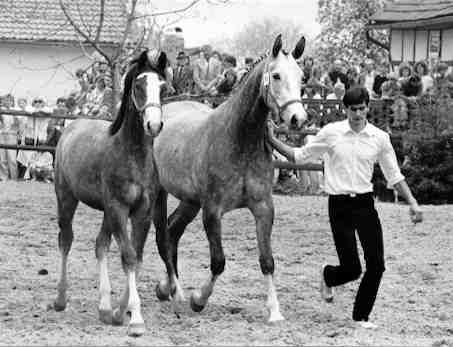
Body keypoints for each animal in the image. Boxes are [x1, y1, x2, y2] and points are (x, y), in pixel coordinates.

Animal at [51, 49, 168, 338]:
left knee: (100, 244)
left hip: (106, 211)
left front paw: (118, 312)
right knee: (66, 240)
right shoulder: (118, 208)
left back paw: (104, 307)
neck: (132, 155)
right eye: (138, 86)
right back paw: (60, 299)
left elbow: (136, 257)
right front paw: (135, 320)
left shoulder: (142, 213)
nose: (154, 125)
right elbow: (127, 256)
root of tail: (70, 127)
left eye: (163, 87)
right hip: (67, 199)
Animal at [152, 35, 308, 324]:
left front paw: (275, 311)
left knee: (172, 231)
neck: (239, 138)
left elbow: (267, 260)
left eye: (301, 76)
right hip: (160, 193)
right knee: (162, 236)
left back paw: (168, 288)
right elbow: (218, 262)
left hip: (191, 201)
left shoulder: (263, 208)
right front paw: (198, 300)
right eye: (277, 75)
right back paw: (176, 291)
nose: (298, 119)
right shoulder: (213, 211)